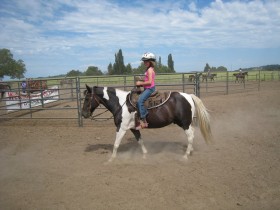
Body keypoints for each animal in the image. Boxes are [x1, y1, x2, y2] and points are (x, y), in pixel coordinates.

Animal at [81, 84, 212, 162]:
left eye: (87, 98)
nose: (83, 114)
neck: (121, 103)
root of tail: (188, 96)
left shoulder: (121, 128)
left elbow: (116, 144)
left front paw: (111, 159)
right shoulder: (134, 128)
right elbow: (140, 141)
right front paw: (145, 154)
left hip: (184, 123)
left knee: (190, 136)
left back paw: (185, 155)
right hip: (185, 123)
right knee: (192, 134)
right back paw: (191, 150)